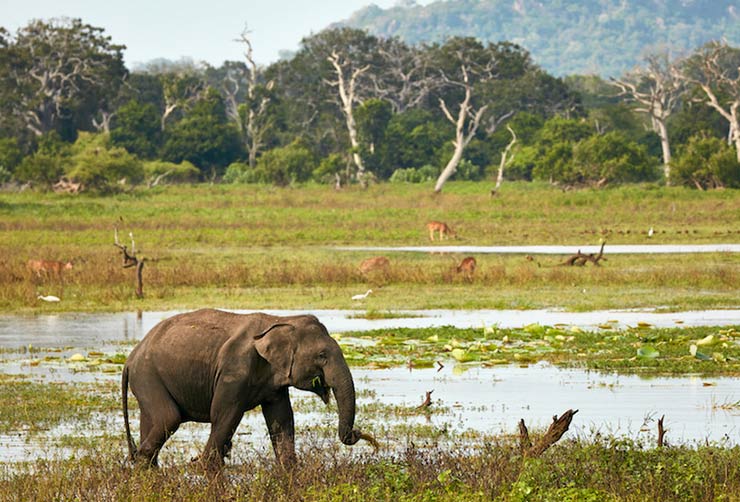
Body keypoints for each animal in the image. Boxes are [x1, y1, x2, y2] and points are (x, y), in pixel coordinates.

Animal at [123, 308, 376, 468]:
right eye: (322, 355)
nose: (360, 435)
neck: (279, 321)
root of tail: (131, 356)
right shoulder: (234, 370)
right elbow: (226, 413)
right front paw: (204, 466)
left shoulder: (274, 380)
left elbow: (281, 418)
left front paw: (289, 467)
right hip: (147, 376)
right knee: (169, 417)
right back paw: (141, 461)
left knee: (153, 420)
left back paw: (146, 465)